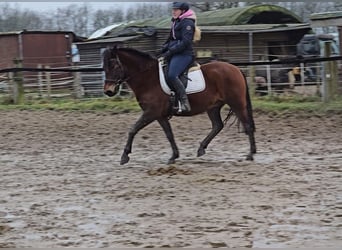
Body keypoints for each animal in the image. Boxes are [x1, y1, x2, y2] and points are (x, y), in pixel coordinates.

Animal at [103, 46, 255, 166]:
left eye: (114, 66)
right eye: (104, 68)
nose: (108, 91)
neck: (148, 78)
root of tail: (236, 69)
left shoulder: (151, 112)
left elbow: (133, 129)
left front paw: (124, 156)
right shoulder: (159, 115)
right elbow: (169, 134)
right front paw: (174, 156)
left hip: (236, 103)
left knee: (247, 125)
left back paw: (251, 154)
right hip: (213, 107)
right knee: (218, 125)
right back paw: (201, 148)